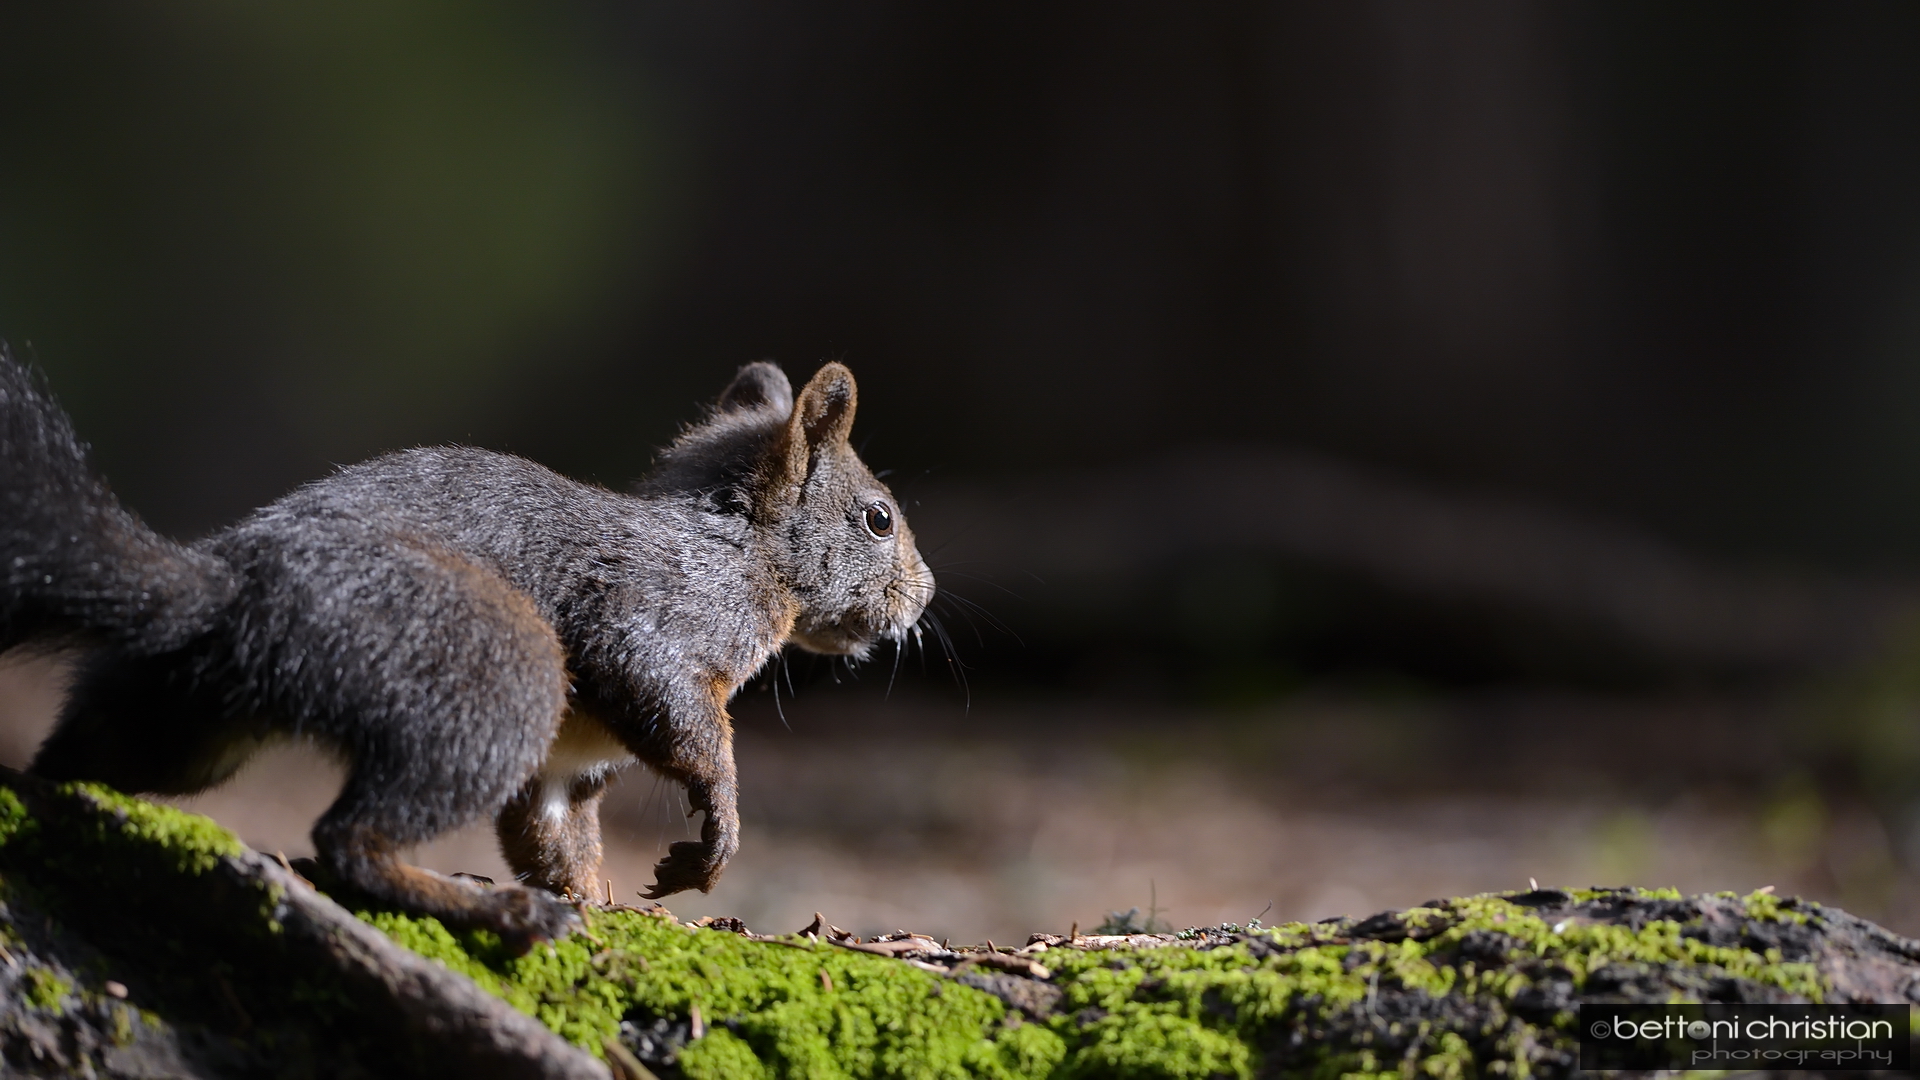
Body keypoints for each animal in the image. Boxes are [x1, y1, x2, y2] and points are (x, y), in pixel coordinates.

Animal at [0, 350, 933, 951]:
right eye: (877, 518)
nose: (922, 597)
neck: (739, 549)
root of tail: (234, 590)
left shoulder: (567, 764)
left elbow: (554, 832)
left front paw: (607, 900)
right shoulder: (652, 619)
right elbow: (681, 720)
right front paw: (715, 835)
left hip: (172, 718)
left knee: (68, 765)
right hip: (497, 665)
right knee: (351, 841)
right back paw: (490, 913)